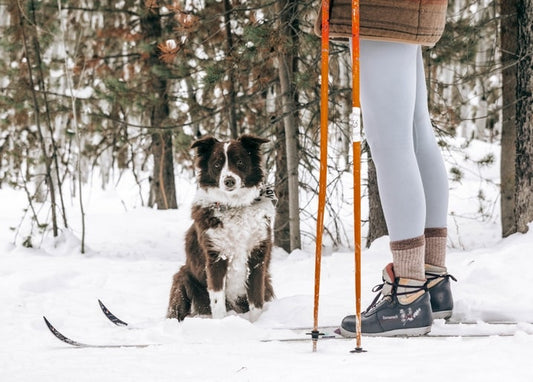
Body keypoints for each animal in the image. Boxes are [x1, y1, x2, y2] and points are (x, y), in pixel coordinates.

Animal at [166, 135, 274, 322]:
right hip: (183, 276)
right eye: (217, 164)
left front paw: (255, 323)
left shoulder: (257, 257)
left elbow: (256, 301)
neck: (234, 206)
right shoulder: (215, 257)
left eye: (239, 161)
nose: (229, 181)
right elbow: (217, 302)